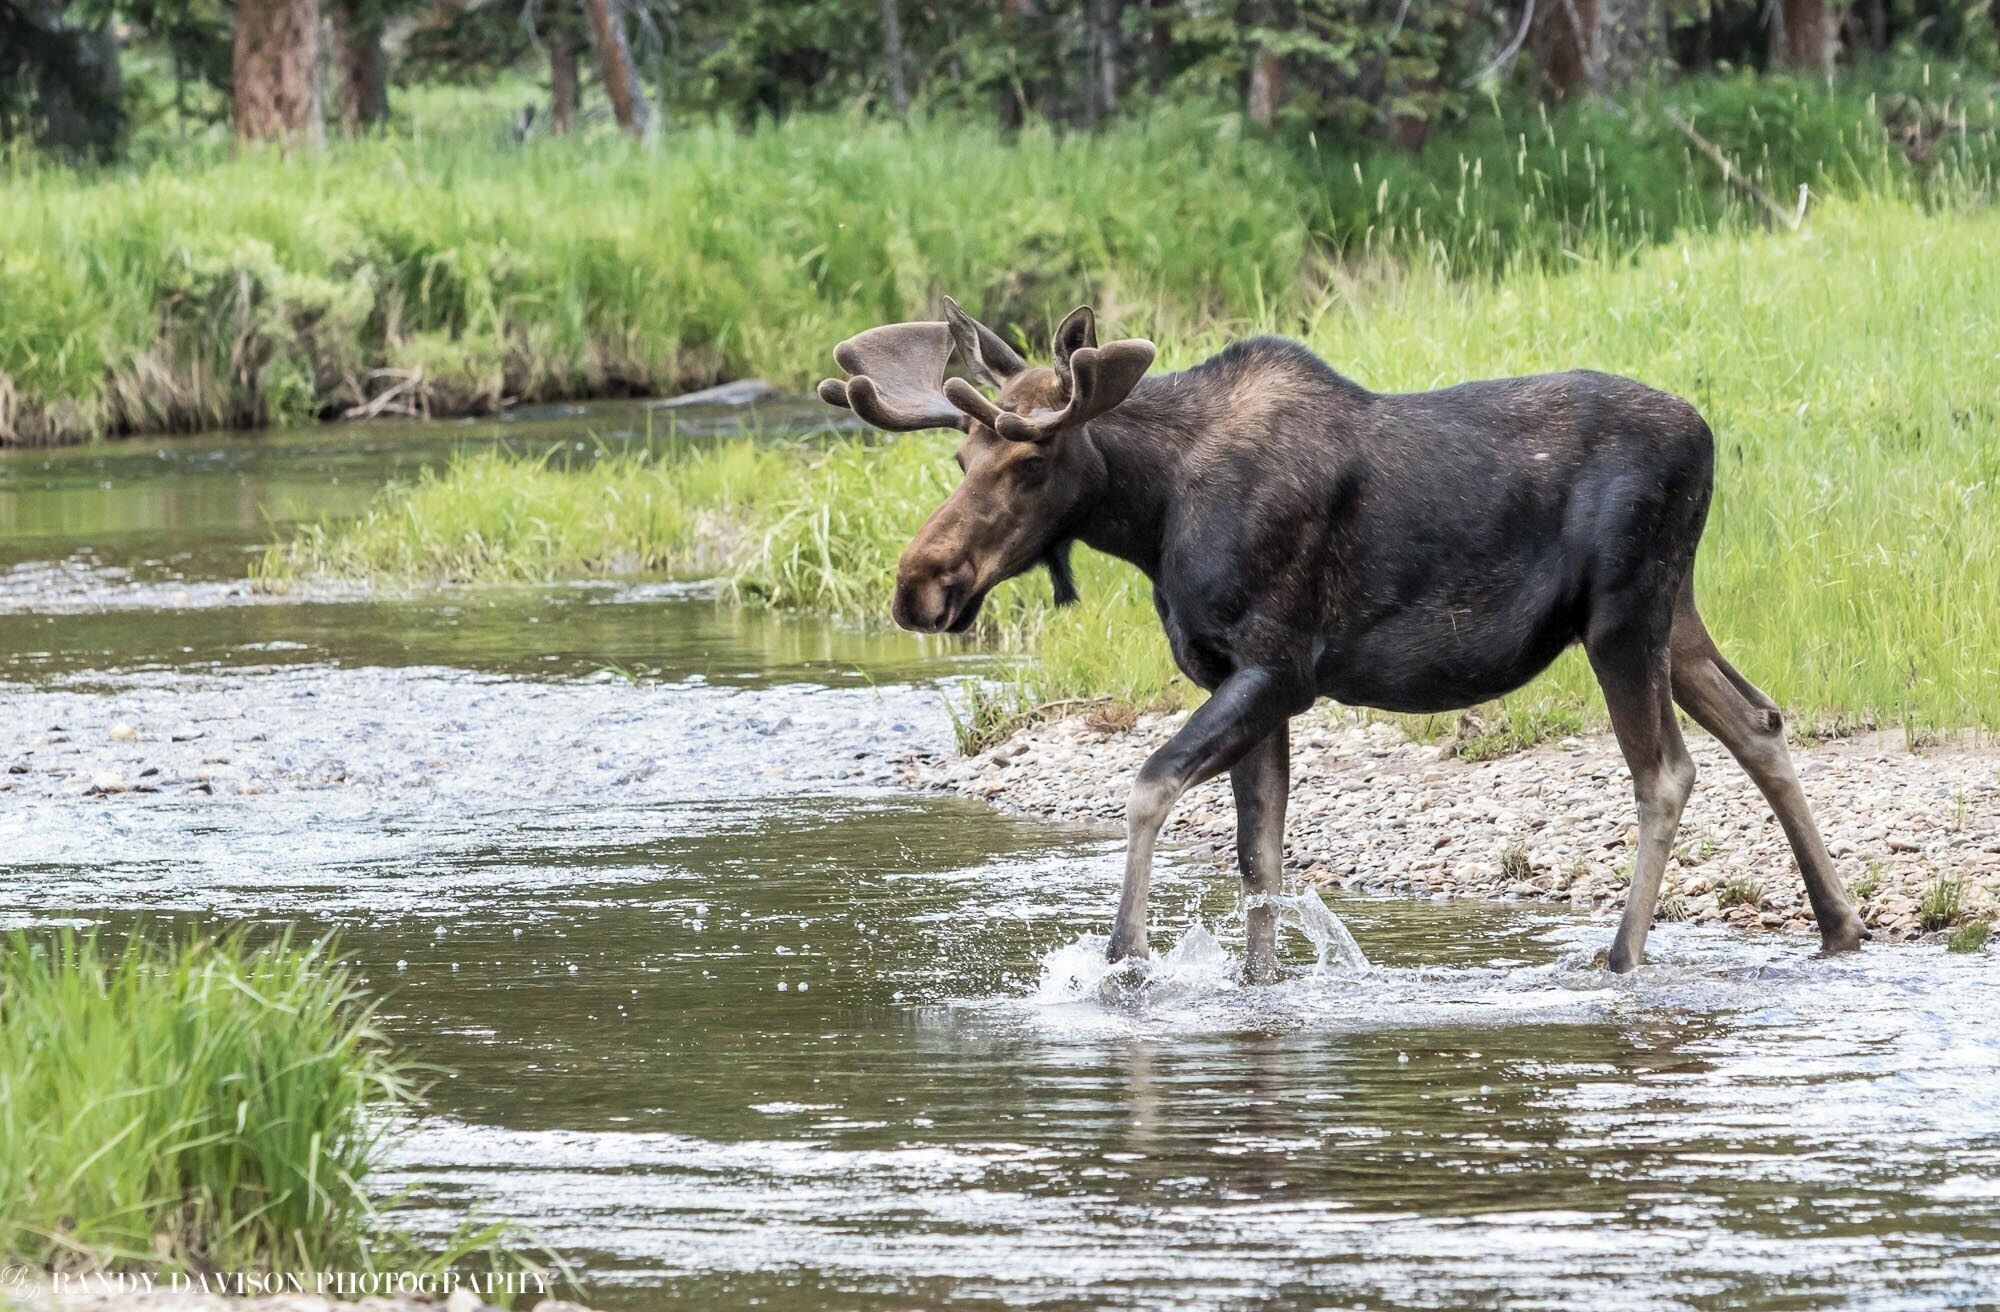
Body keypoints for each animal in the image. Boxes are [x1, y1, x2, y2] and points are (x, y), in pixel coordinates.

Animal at [818, 300, 1868, 981]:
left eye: (1031, 463)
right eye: (962, 455)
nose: (919, 585)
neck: (1151, 515)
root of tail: (1710, 440)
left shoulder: (1278, 666)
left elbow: (1151, 783)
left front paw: (1125, 957)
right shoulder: (1247, 681)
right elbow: (1261, 858)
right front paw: (1255, 983)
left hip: (1622, 615)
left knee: (1668, 771)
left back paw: (1619, 957)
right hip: (1671, 612)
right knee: (1761, 722)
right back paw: (1839, 924)